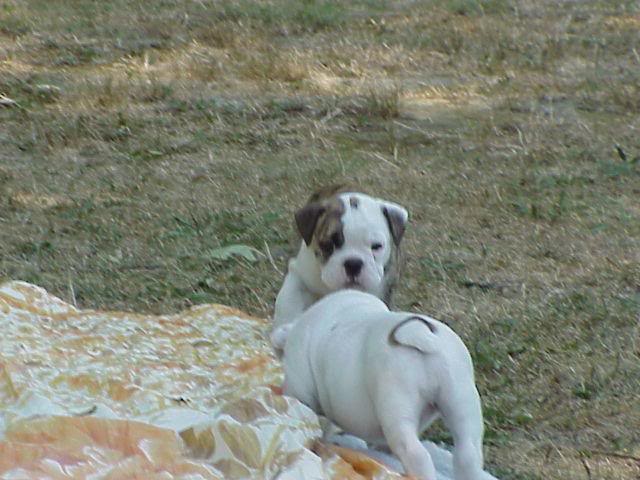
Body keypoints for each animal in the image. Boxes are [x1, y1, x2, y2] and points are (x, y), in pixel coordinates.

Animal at [272, 288, 488, 480]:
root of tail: (418, 334)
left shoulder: (301, 388)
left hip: (395, 400)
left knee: (415, 453)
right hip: (459, 393)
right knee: (467, 452)